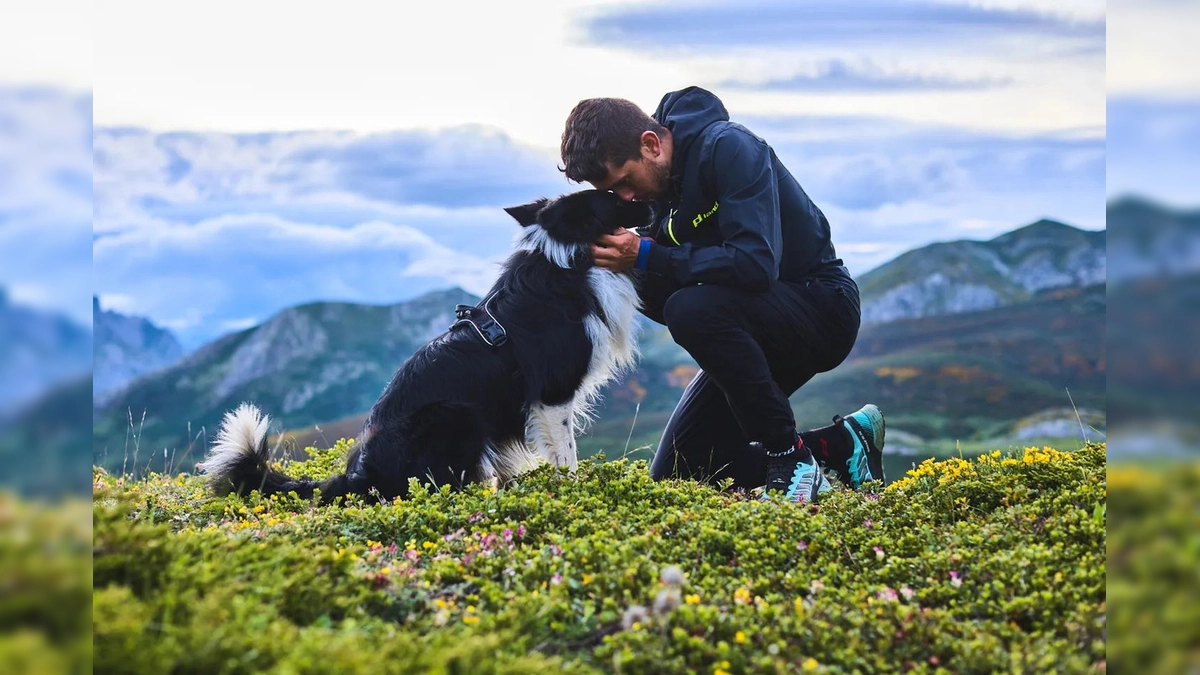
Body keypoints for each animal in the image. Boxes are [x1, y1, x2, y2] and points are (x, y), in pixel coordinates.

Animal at [198, 187, 652, 499]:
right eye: (613, 197)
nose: (651, 204)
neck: (568, 260)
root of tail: (360, 475)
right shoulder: (552, 395)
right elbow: (566, 458)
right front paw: (573, 493)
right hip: (456, 413)